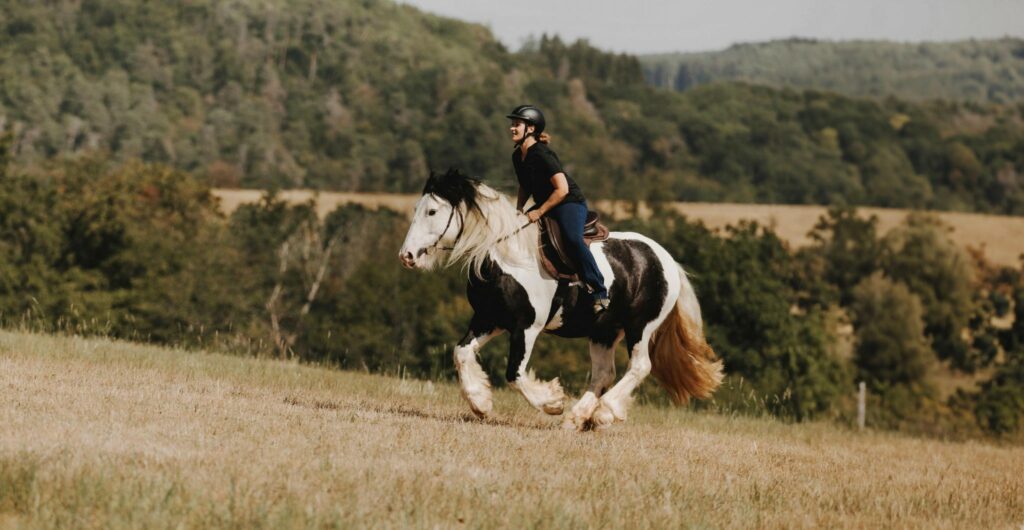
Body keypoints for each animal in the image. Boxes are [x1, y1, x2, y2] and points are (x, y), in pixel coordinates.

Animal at [395, 170, 724, 431]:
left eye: (432, 212)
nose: (406, 256)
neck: (508, 256)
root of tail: (666, 260)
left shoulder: (526, 327)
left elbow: (515, 373)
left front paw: (552, 402)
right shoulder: (489, 319)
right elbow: (461, 353)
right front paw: (480, 403)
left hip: (640, 327)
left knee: (640, 366)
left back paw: (603, 413)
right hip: (604, 331)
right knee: (604, 373)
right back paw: (577, 418)